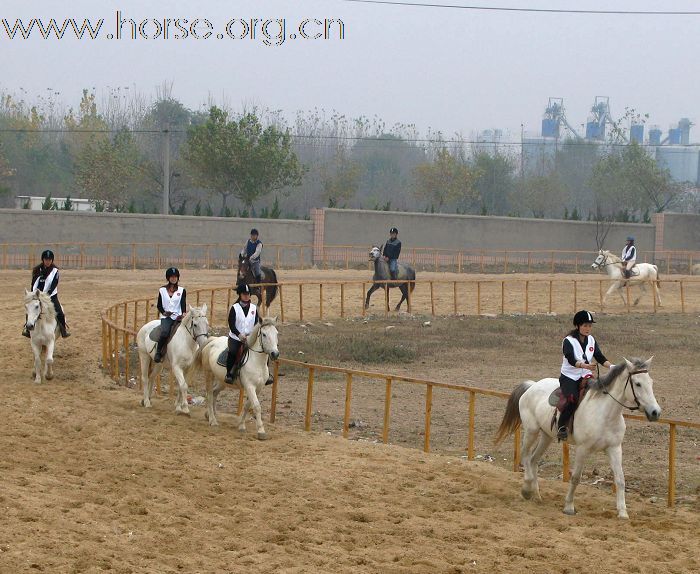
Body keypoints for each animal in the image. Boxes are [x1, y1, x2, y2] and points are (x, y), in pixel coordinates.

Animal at [492, 358, 660, 520]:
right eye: (638, 383)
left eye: (651, 382)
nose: (655, 412)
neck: (604, 413)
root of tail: (532, 386)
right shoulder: (583, 449)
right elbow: (575, 478)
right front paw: (569, 507)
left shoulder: (614, 448)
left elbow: (620, 479)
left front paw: (623, 512)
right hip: (531, 431)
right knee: (526, 455)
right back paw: (527, 490)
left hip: (547, 436)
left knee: (533, 460)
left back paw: (537, 496)